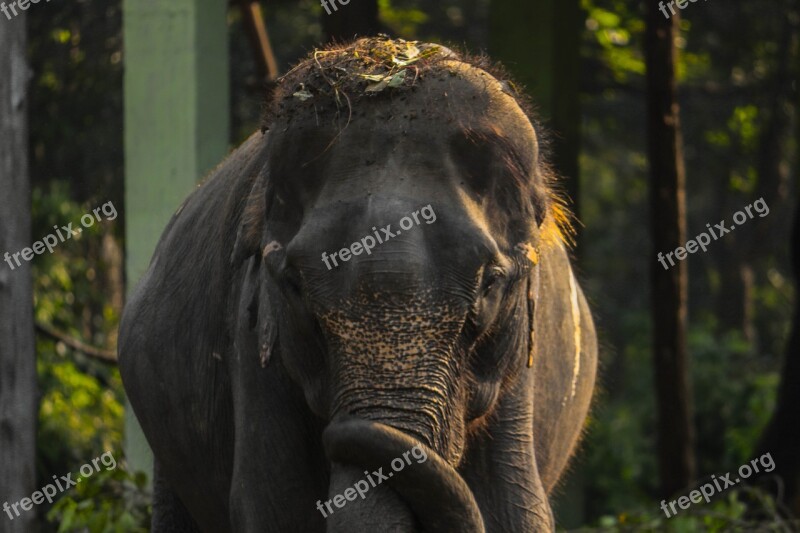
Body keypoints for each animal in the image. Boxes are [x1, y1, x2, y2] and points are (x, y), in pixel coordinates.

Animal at [117, 35, 592, 528]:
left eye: (491, 284)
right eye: (294, 285)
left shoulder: (516, 372)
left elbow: (514, 509)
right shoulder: (253, 342)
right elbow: (273, 505)